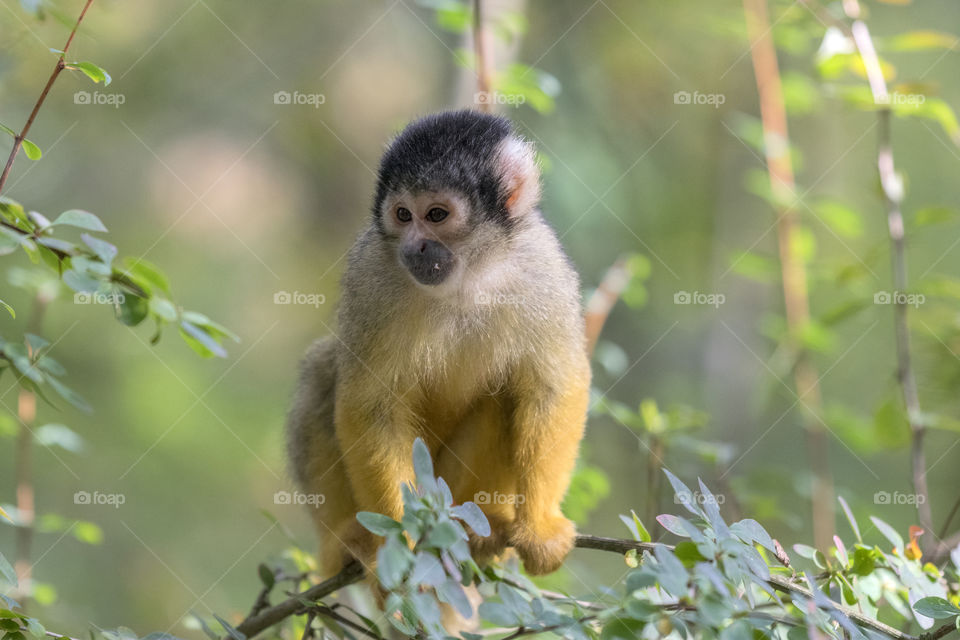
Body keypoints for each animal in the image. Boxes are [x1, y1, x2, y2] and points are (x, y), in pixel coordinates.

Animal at [286, 109, 591, 582]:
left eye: (436, 214)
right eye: (402, 215)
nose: (415, 246)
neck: (468, 276)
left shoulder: (543, 267)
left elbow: (552, 389)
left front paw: (538, 526)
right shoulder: (370, 272)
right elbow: (369, 404)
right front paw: (402, 536)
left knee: (505, 395)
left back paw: (483, 527)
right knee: (323, 370)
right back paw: (344, 542)